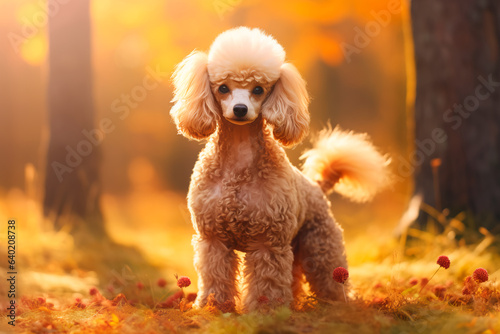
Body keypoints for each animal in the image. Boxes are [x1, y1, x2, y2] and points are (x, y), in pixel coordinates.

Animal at [170, 27, 388, 312]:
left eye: (259, 89)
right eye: (223, 88)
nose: (240, 109)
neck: (239, 163)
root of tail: (318, 186)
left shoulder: (269, 241)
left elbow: (267, 280)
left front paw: (267, 310)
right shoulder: (213, 238)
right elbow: (215, 276)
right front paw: (214, 306)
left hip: (320, 245)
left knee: (329, 276)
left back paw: (338, 304)